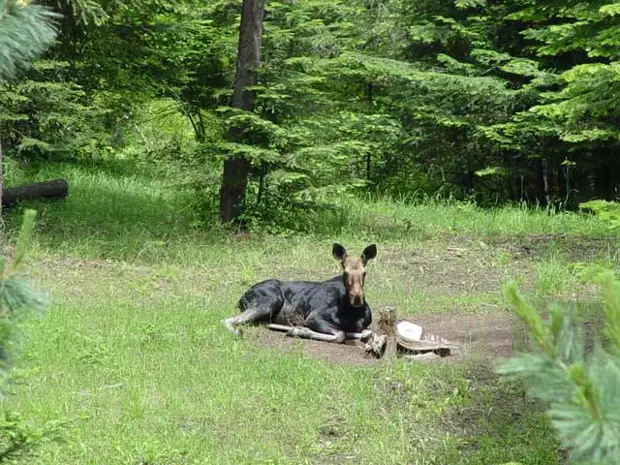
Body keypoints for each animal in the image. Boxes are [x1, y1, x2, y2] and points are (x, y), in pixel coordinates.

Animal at [223, 243, 378, 340]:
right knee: (227, 320)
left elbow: (366, 332)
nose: (357, 298)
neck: (352, 312)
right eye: (345, 273)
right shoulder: (314, 316)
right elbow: (341, 334)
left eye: (364, 273)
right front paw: (300, 330)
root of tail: (242, 296)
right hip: (270, 301)